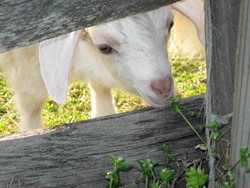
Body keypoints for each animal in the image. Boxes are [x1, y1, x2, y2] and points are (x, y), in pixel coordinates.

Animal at [0, 0, 204, 131]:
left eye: (170, 24)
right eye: (104, 48)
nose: (163, 87)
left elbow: (100, 86)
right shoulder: (24, 57)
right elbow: (32, 105)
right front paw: (30, 132)